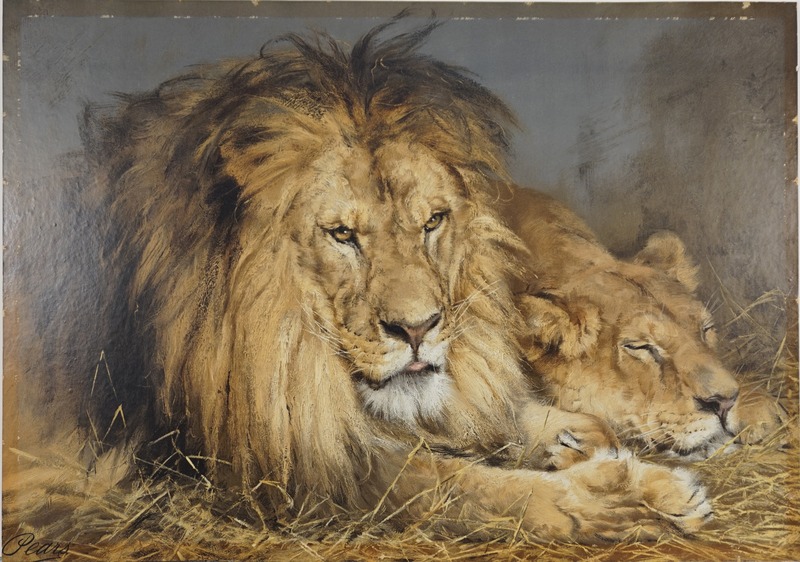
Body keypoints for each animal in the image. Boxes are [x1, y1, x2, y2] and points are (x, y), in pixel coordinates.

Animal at [79, 21, 713, 541]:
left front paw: (583, 441)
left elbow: (500, 413)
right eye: (341, 234)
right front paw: (626, 497)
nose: (417, 329)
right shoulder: (284, 472)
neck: (292, 347)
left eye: (432, 222)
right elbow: (463, 487)